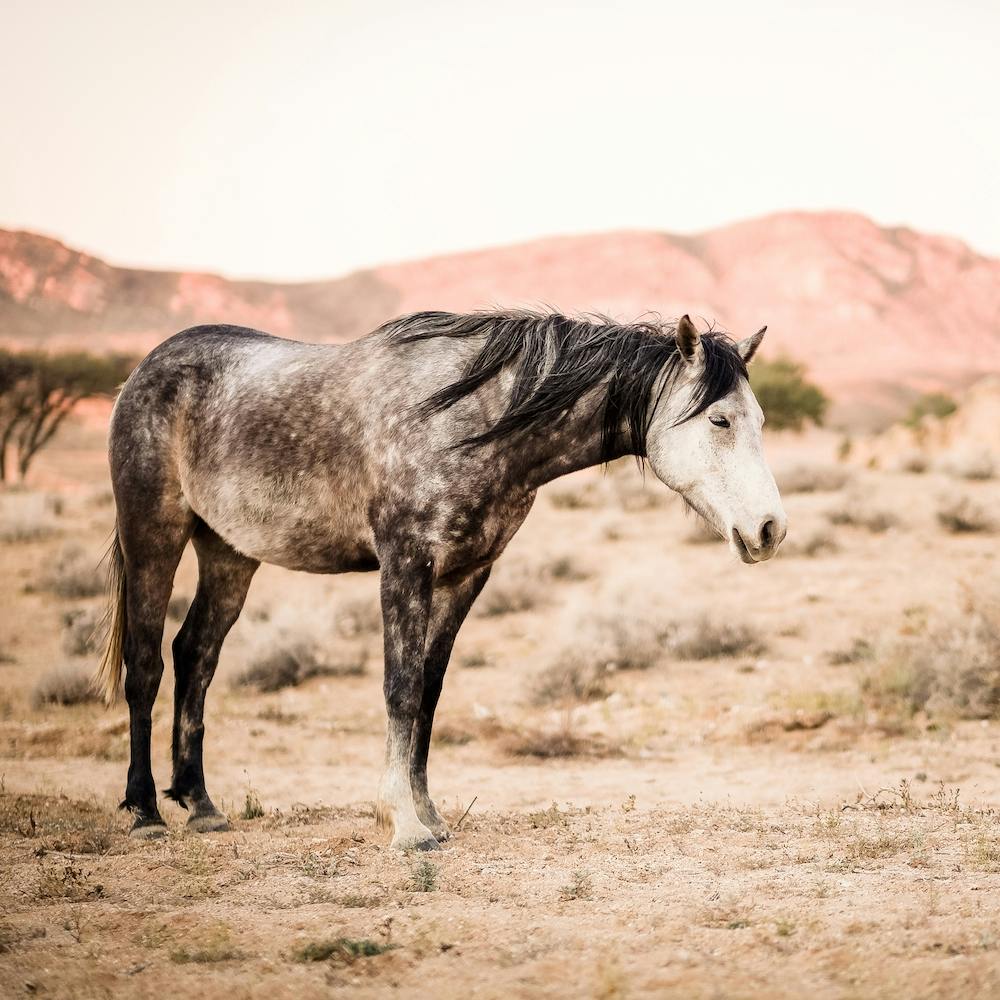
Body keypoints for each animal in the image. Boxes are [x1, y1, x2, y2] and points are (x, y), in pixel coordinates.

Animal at [97, 309, 787, 850]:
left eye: (758, 421)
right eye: (720, 421)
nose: (770, 529)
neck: (471, 418)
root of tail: (146, 369)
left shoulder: (466, 575)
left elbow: (428, 693)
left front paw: (428, 813)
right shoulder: (406, 564)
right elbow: (400, 688)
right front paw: (402, 823)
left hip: (229, 551)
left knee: (196, 655)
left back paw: (201, 805)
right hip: (154, 535)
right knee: (147, 665)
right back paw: (145, 811)